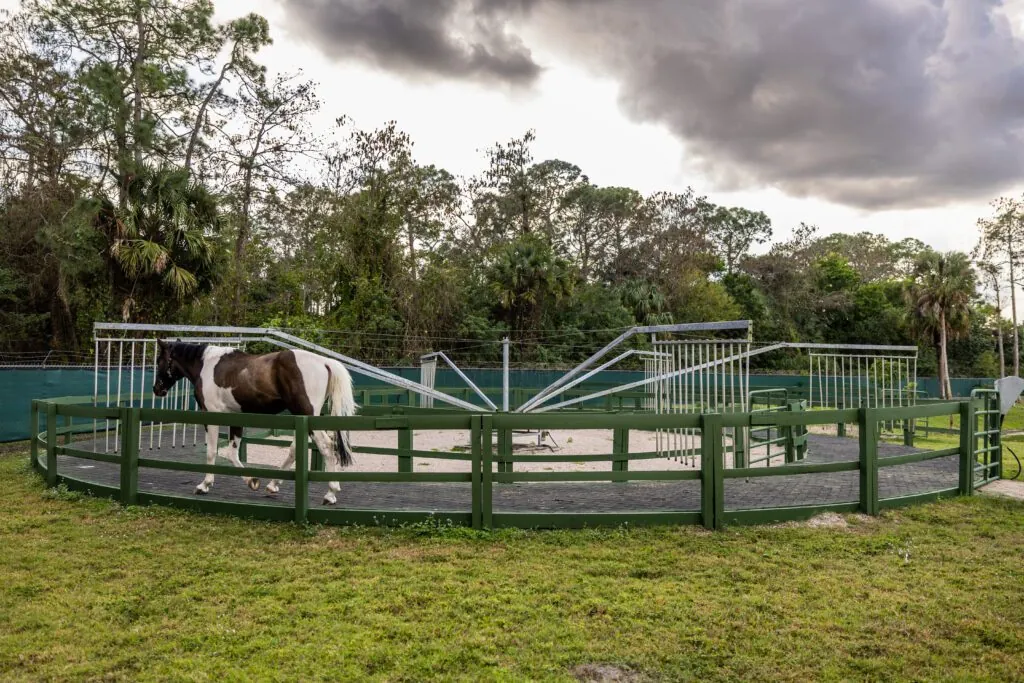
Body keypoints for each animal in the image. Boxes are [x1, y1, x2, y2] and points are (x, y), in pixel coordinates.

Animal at [152, 339, 358, 504]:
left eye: (160, 360)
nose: (157, 389)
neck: (206, 365)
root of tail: (325, 362)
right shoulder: (235, 418)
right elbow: (232, 454)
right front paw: (252, 481)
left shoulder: (211, 416)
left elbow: (212, 452)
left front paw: (204, 485)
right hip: (304, 419)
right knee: (295, 449)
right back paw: (273, 485)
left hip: (307, 416)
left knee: (326, 446)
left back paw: (330, 493)